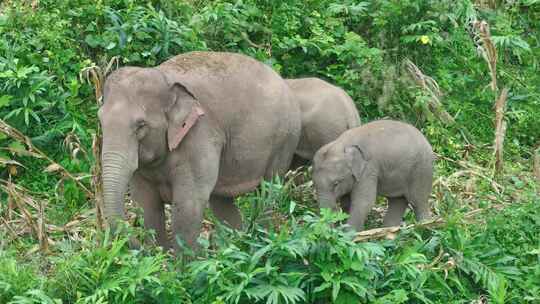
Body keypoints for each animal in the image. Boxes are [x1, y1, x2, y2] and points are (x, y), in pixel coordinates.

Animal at [99, 52, 302, 251]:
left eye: (141, 125)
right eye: (100, 119)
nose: (138, 246)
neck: (164, 78)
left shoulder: (200, 134)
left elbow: (189, 203)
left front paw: (181, 261)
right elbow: (146, 202)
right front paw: (158, 255)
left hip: (284, 140)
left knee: (268, 191)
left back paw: (260, 241)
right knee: (221, 200)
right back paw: (234, 247)